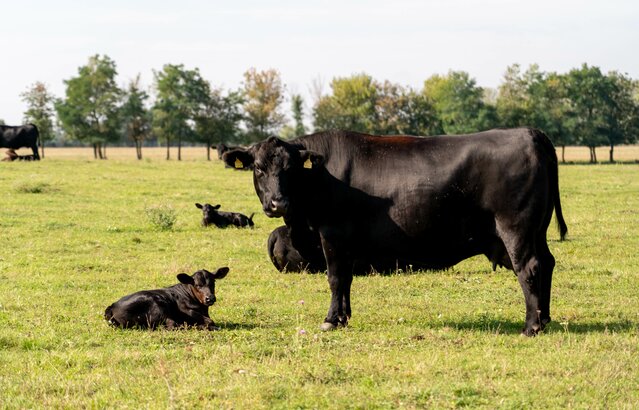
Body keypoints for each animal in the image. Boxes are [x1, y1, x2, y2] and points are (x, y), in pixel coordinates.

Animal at [222, 129, 568, 336]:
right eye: (258, 168)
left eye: (290, 169)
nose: (277, 203)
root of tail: (529, 133)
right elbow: (345, 280)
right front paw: (344, 316)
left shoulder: (332, 234)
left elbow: (335, 278)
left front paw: (331, 320)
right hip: (537, 231)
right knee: (547, 264)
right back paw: (545, 317)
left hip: (516, 229)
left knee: (529, 268)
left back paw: (531, 325)